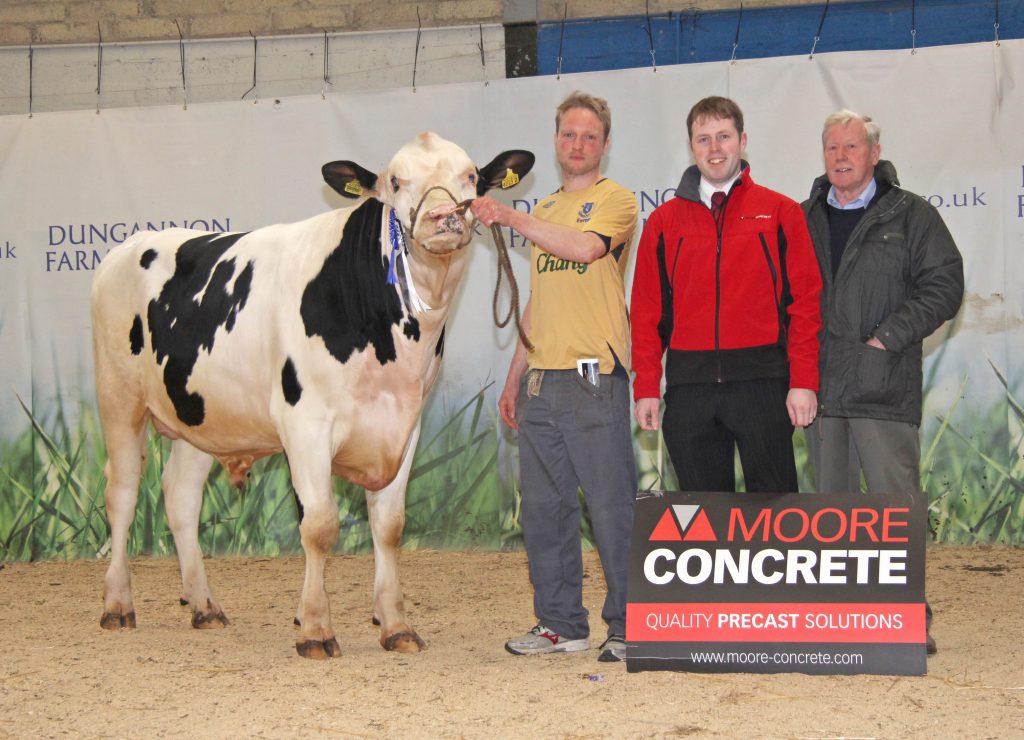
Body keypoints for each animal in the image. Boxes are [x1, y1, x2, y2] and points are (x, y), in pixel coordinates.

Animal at [91, 132, 534, 659]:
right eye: (395, 181)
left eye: (470, 176)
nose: (443, 217)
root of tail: (131, 244)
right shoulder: (305, 425)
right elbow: (320, 525)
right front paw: (316, 629)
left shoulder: (405, 425)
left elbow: (390, 525)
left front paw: (395, 626)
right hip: (119, 399)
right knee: (121, 494)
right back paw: (118, 604)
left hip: (201, 417)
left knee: (180, 497)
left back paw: (204, 605)